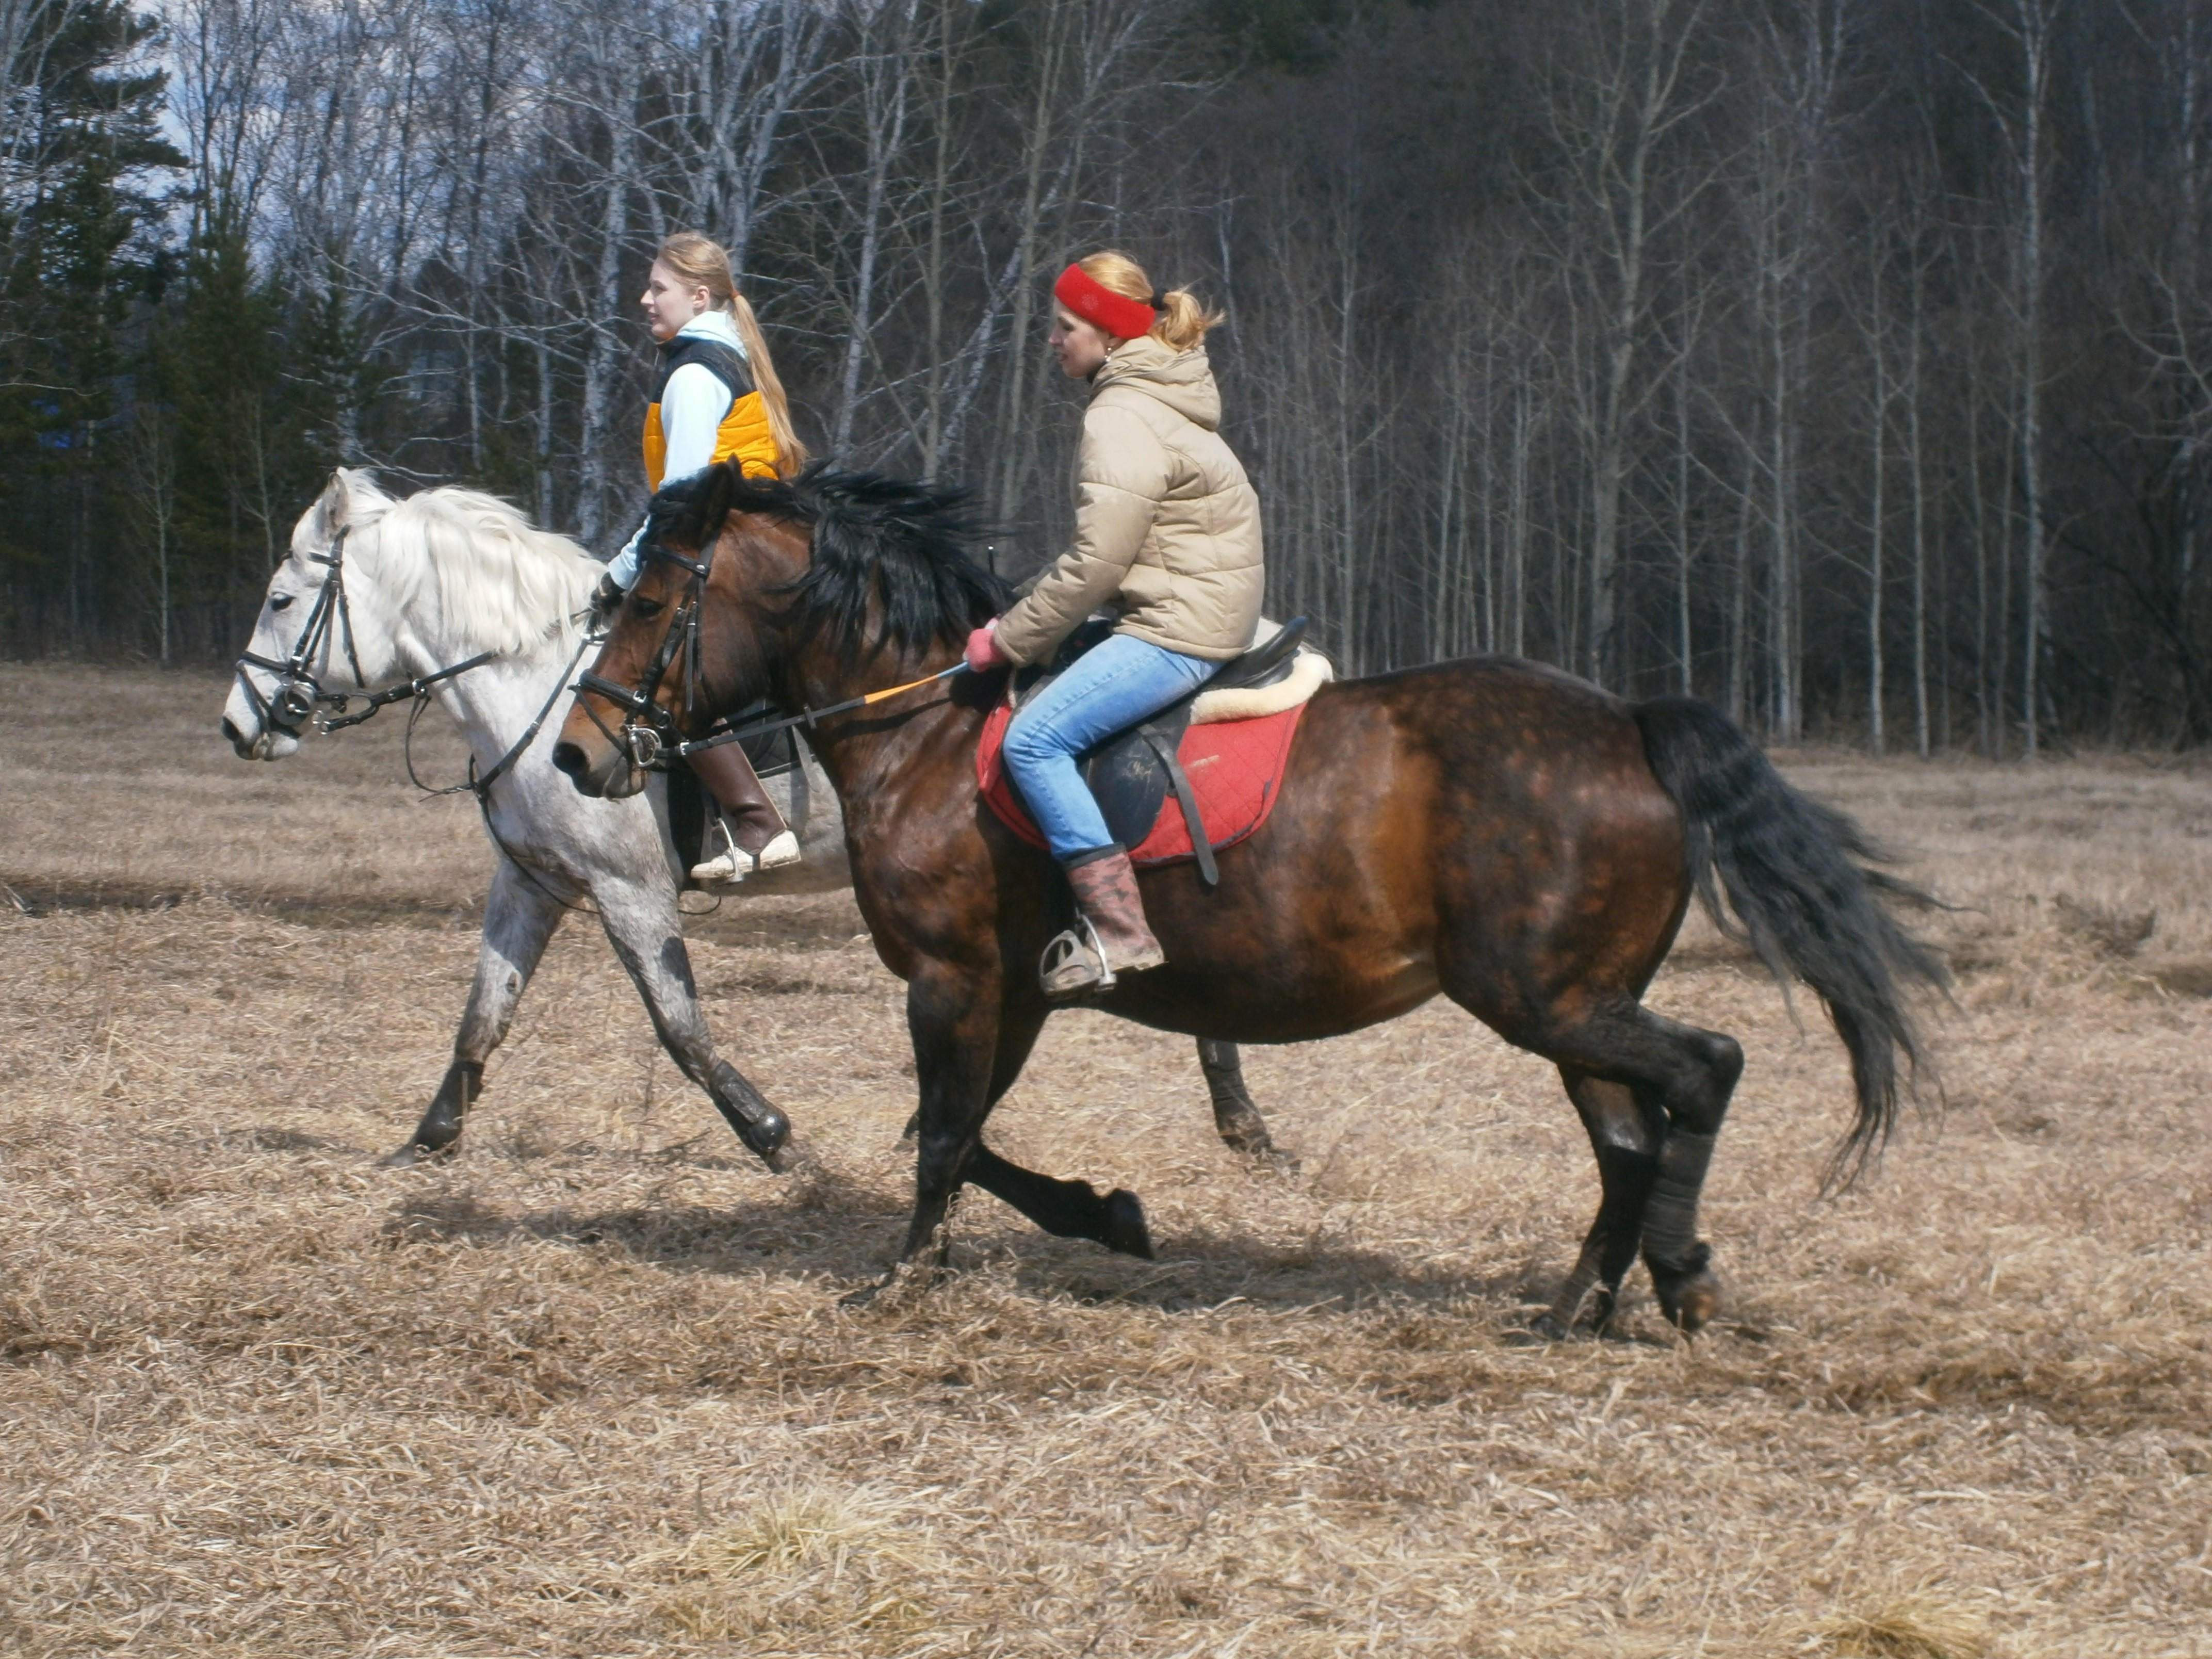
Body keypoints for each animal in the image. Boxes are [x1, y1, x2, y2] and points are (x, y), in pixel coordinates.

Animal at [222, 469, 836, 1168]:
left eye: (280, 601)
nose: (236, 724)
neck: (536, 687)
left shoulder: (630, 891)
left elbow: (681, 1030)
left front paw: (771, 1135)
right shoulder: (529, 883)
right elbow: (484, 1017)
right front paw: (430, 1139)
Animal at [562, 471, 1946, 1336]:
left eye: (647, 604)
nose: (578, 757)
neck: (923, 726)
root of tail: (1628, 724)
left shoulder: (953, 980)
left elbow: (943, 1135)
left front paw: (900, 1280)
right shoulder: (1012, 991)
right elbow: (960, 1136)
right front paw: (1102, 1216)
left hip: (1543, 995)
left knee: (1701, 1072)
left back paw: (1676, 1277)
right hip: (1569, 1003)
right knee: (1626, 1135)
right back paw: (1583, 1304)